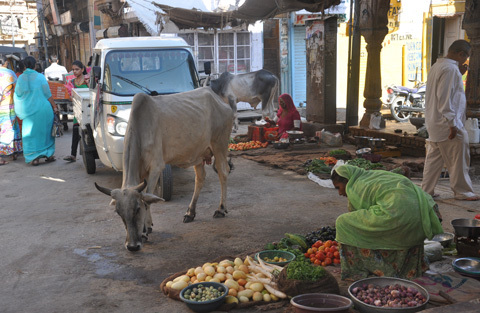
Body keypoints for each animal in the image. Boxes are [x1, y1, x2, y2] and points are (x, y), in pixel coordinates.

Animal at [94, 87, 234, 251]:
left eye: (137, 209)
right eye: (118, 212)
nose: (132, 246)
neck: (141, 128)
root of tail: (218, 99)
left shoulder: (156, 167)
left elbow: (148, 198)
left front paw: (145, 231)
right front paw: (147, 228)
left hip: (220, 145)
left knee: (223, 172)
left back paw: (221, 209)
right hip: (198, 153)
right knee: (200, 178)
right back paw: (190, 212)